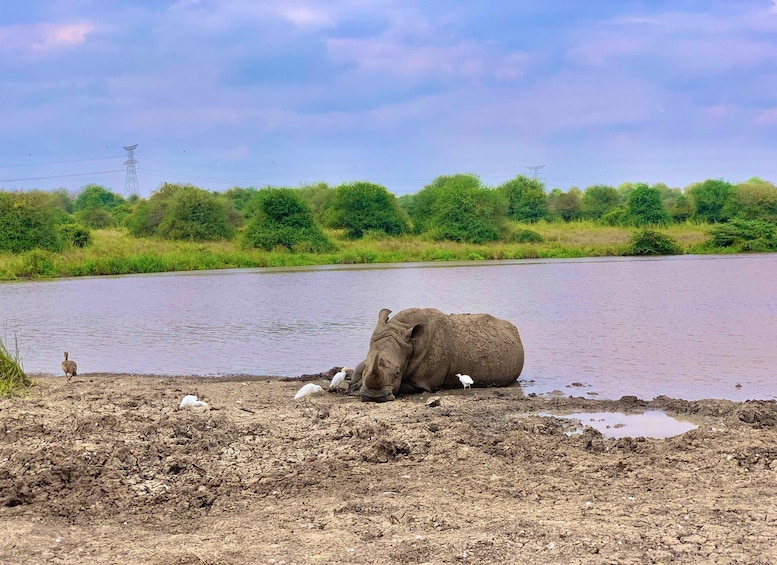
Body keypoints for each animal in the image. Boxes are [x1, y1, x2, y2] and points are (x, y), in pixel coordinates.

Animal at [351, 308, 524, 402]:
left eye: (397, 373)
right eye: (366, 367)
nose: (374, 397)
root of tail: (514, 330)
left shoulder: (424, 383)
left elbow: (404, 386)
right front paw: (356, 384)